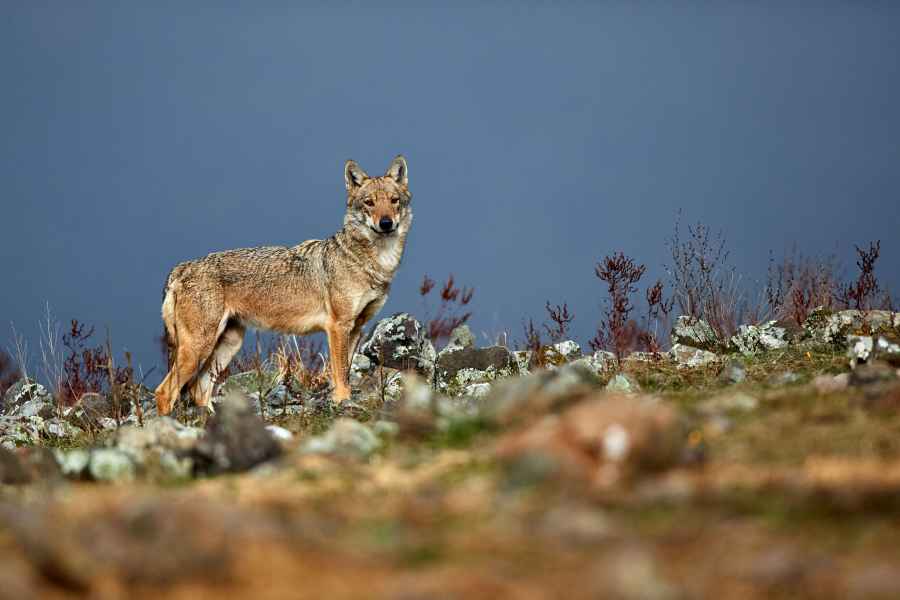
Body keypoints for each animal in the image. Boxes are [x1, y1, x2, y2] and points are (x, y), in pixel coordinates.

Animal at [154, 155, 411, 415]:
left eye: (394, 201)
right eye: (369, 203)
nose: (386, 223)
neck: (375, 261)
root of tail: (181, 268)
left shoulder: (357, 328)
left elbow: (345, 371)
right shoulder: (338, 327)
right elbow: (340, 374)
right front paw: (342, 402)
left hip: (228, 345)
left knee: (198, 389)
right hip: (198, 348)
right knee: (165, 392)